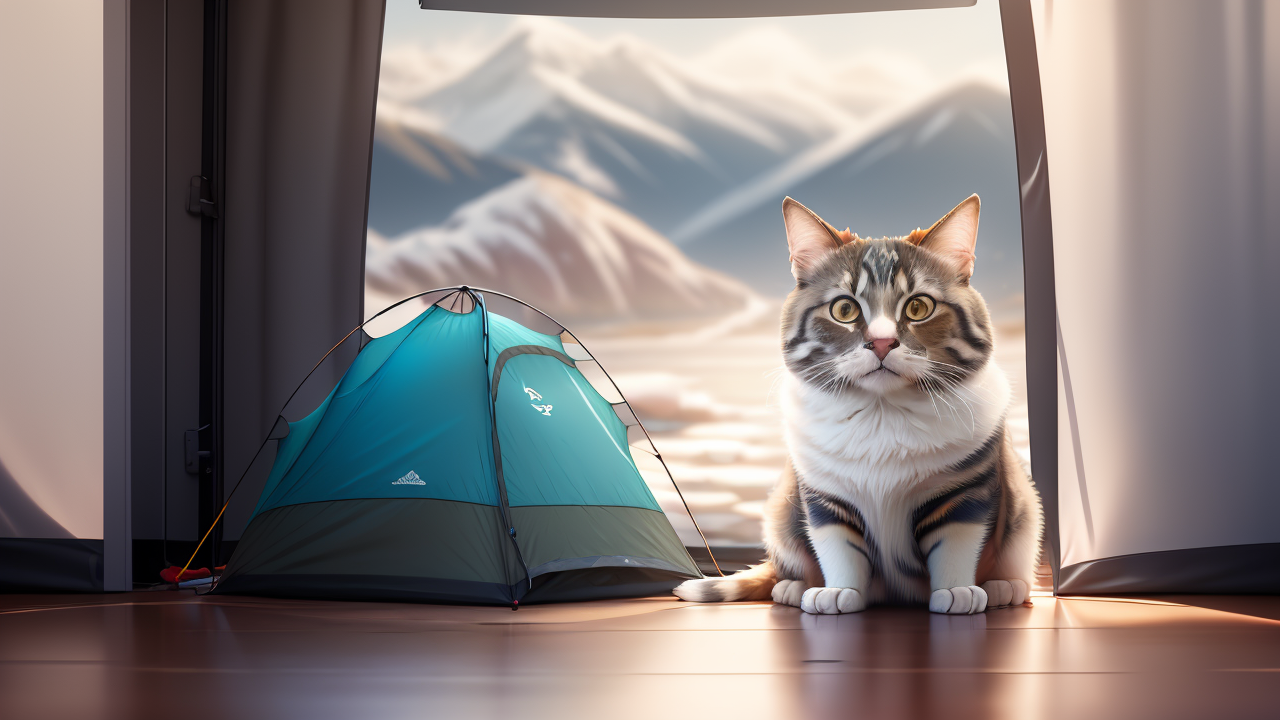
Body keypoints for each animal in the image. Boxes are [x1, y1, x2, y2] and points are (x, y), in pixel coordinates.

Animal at [670, 193, 1039, 614]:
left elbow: (955, 546)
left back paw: (1003, 588)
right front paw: (838, 592)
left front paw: (957, 591)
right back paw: (794, 588)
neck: (882, 415)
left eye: (918, 307)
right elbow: (838, 548)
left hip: (1026, 511)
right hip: (780, 509)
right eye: (844, 309)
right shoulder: (823, 497)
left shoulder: (966, 492)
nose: (881, 342)